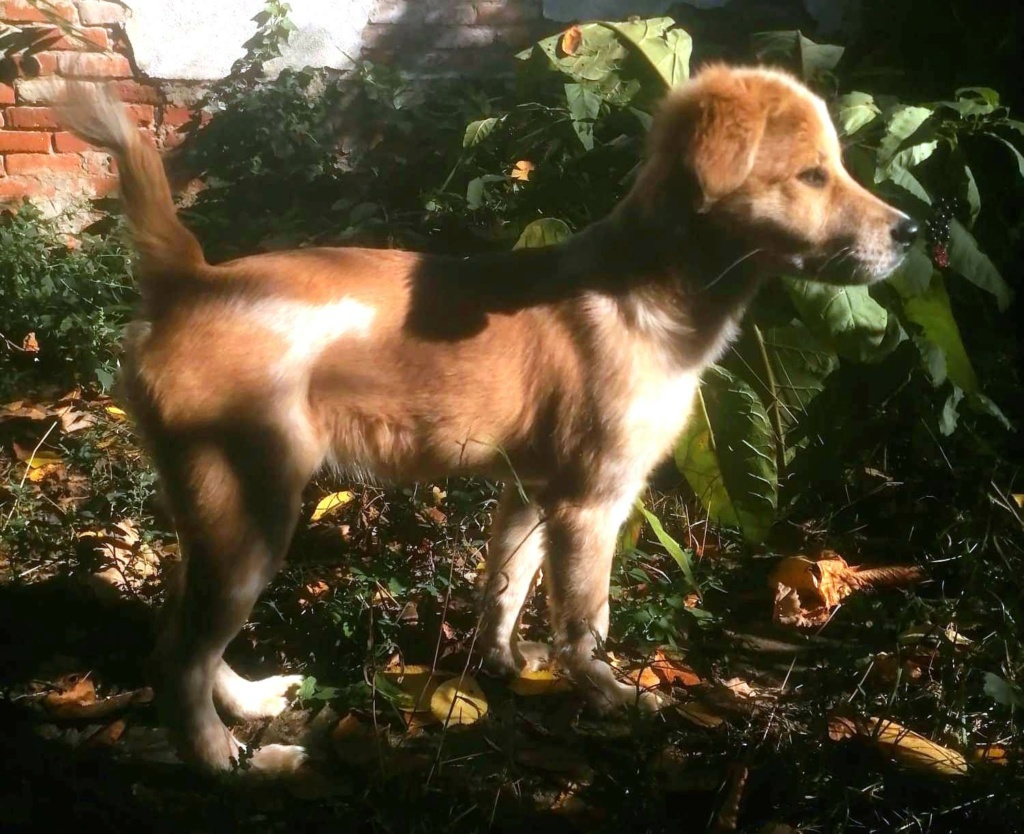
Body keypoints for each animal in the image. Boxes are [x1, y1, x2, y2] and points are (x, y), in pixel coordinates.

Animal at [59, 65, 917, 778]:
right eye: (812, 174)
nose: (913, 233)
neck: (647, 291)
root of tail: (189, 278)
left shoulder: (531, 492)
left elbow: (505, 586)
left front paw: (504, 665)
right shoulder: (593, 504)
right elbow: (586, 621)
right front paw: (610, 696)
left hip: (220, 506)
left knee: (182, 619)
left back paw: (250, 701)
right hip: (251, 502)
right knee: (177, 656)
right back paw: (230, 762)